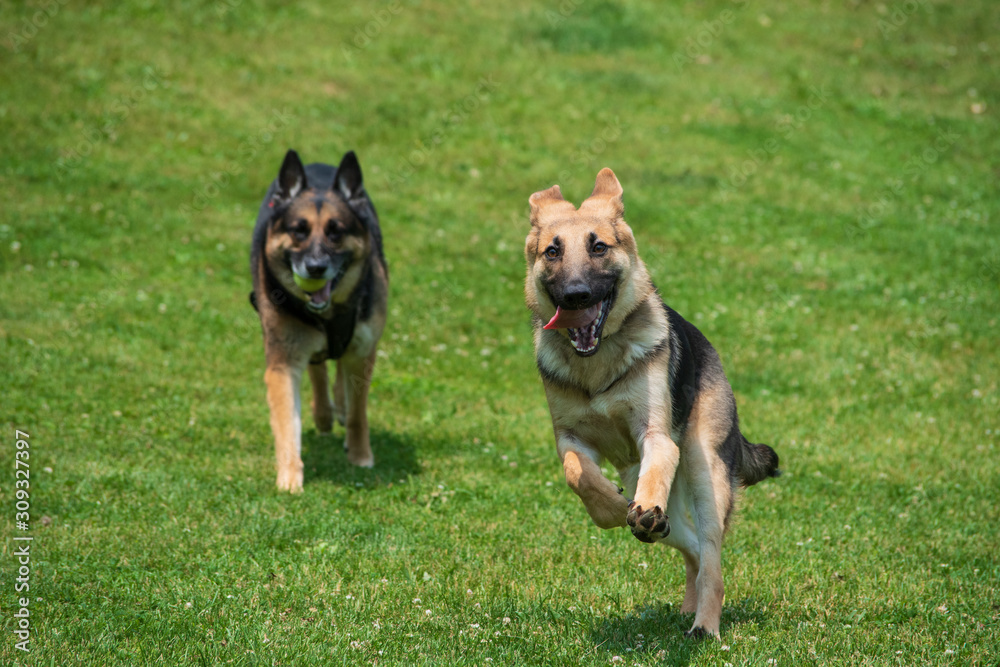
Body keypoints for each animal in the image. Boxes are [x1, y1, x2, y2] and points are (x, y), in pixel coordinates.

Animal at [250, 150, 386, 490]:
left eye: (336, 231)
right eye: (298, 230)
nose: (314, 267)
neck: (328, 313)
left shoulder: (363, 352)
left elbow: (358, 413)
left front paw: (361, 456)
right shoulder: (283, 361)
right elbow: (286, 421)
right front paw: (289, 478)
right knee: (319, 369)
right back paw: (324, 413)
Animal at [528, 167, 776, 636]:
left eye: (599, 247)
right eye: (552, 251)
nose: (576, 295)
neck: (597, 365)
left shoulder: (656, 437)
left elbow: (654, 468)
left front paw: (640, 506)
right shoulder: (569, 437)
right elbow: (577, 474)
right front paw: (610, 507)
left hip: (704, 470)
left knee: (712, 558)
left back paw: (704, 626)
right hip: (662, 505)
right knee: (690, 547)